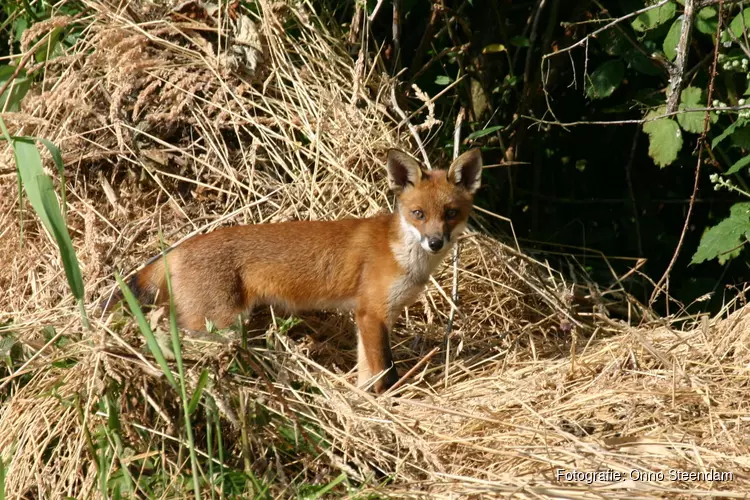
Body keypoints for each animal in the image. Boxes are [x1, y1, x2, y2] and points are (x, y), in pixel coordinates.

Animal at [104, 148, 482, 394]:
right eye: (418, 214)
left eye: (450, 213)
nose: (435, 242)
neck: (402, 253)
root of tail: (178, 249)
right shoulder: (373, 313)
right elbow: (382, 374)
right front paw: (384, 407)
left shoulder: (365, 316)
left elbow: (366, 372)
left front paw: (359, 403)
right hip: (219, 326)